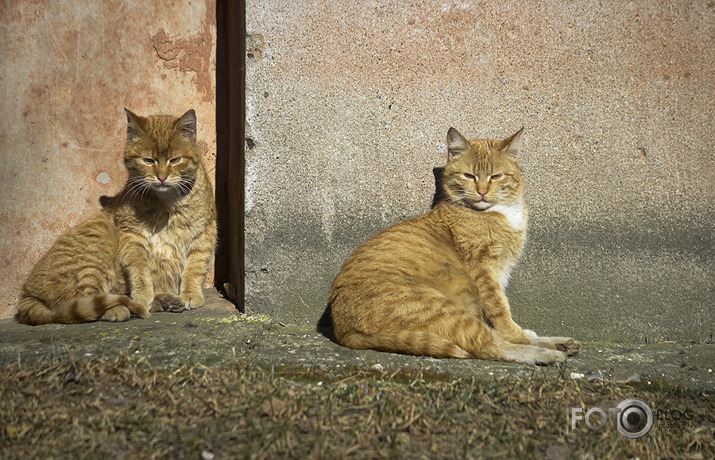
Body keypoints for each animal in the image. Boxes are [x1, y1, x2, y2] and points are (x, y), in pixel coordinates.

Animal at [16, 108, 217, 326]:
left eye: (175, 160)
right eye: (148, 161)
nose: (162, 177)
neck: (167, 202)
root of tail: (27, 293)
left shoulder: (204, 232)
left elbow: (195, 267)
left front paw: (190, 293)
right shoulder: (132, 236)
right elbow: (140, 270)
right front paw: (144, 295)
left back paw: (165, 301)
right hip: (100, 239)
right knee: (83, 301)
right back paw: (121, 308)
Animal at [330, 127, 580, 364]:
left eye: (496, 176)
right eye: (468, 176)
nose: (482, 191)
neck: (500, 212)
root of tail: (344, 331)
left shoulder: (500, 271)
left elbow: (501, 315)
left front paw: (523, 332)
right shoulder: (482, 269)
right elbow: (499, 309)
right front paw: (516, 330)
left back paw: (558, 343)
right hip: (439, 308)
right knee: (489, 345)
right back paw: (548, 353)